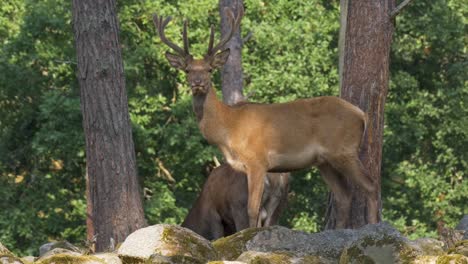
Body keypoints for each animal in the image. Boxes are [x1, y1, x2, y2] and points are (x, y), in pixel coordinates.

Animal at [155, 6, 378, 229]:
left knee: (370, 185)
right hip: (325, 161)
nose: (198, 83)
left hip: (344, 150)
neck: (229, 128)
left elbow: (252, 210)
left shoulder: (257, 161)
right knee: (344, 196)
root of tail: (362, 115)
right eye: (187, 70)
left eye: (210, 69)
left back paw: (374, 224)